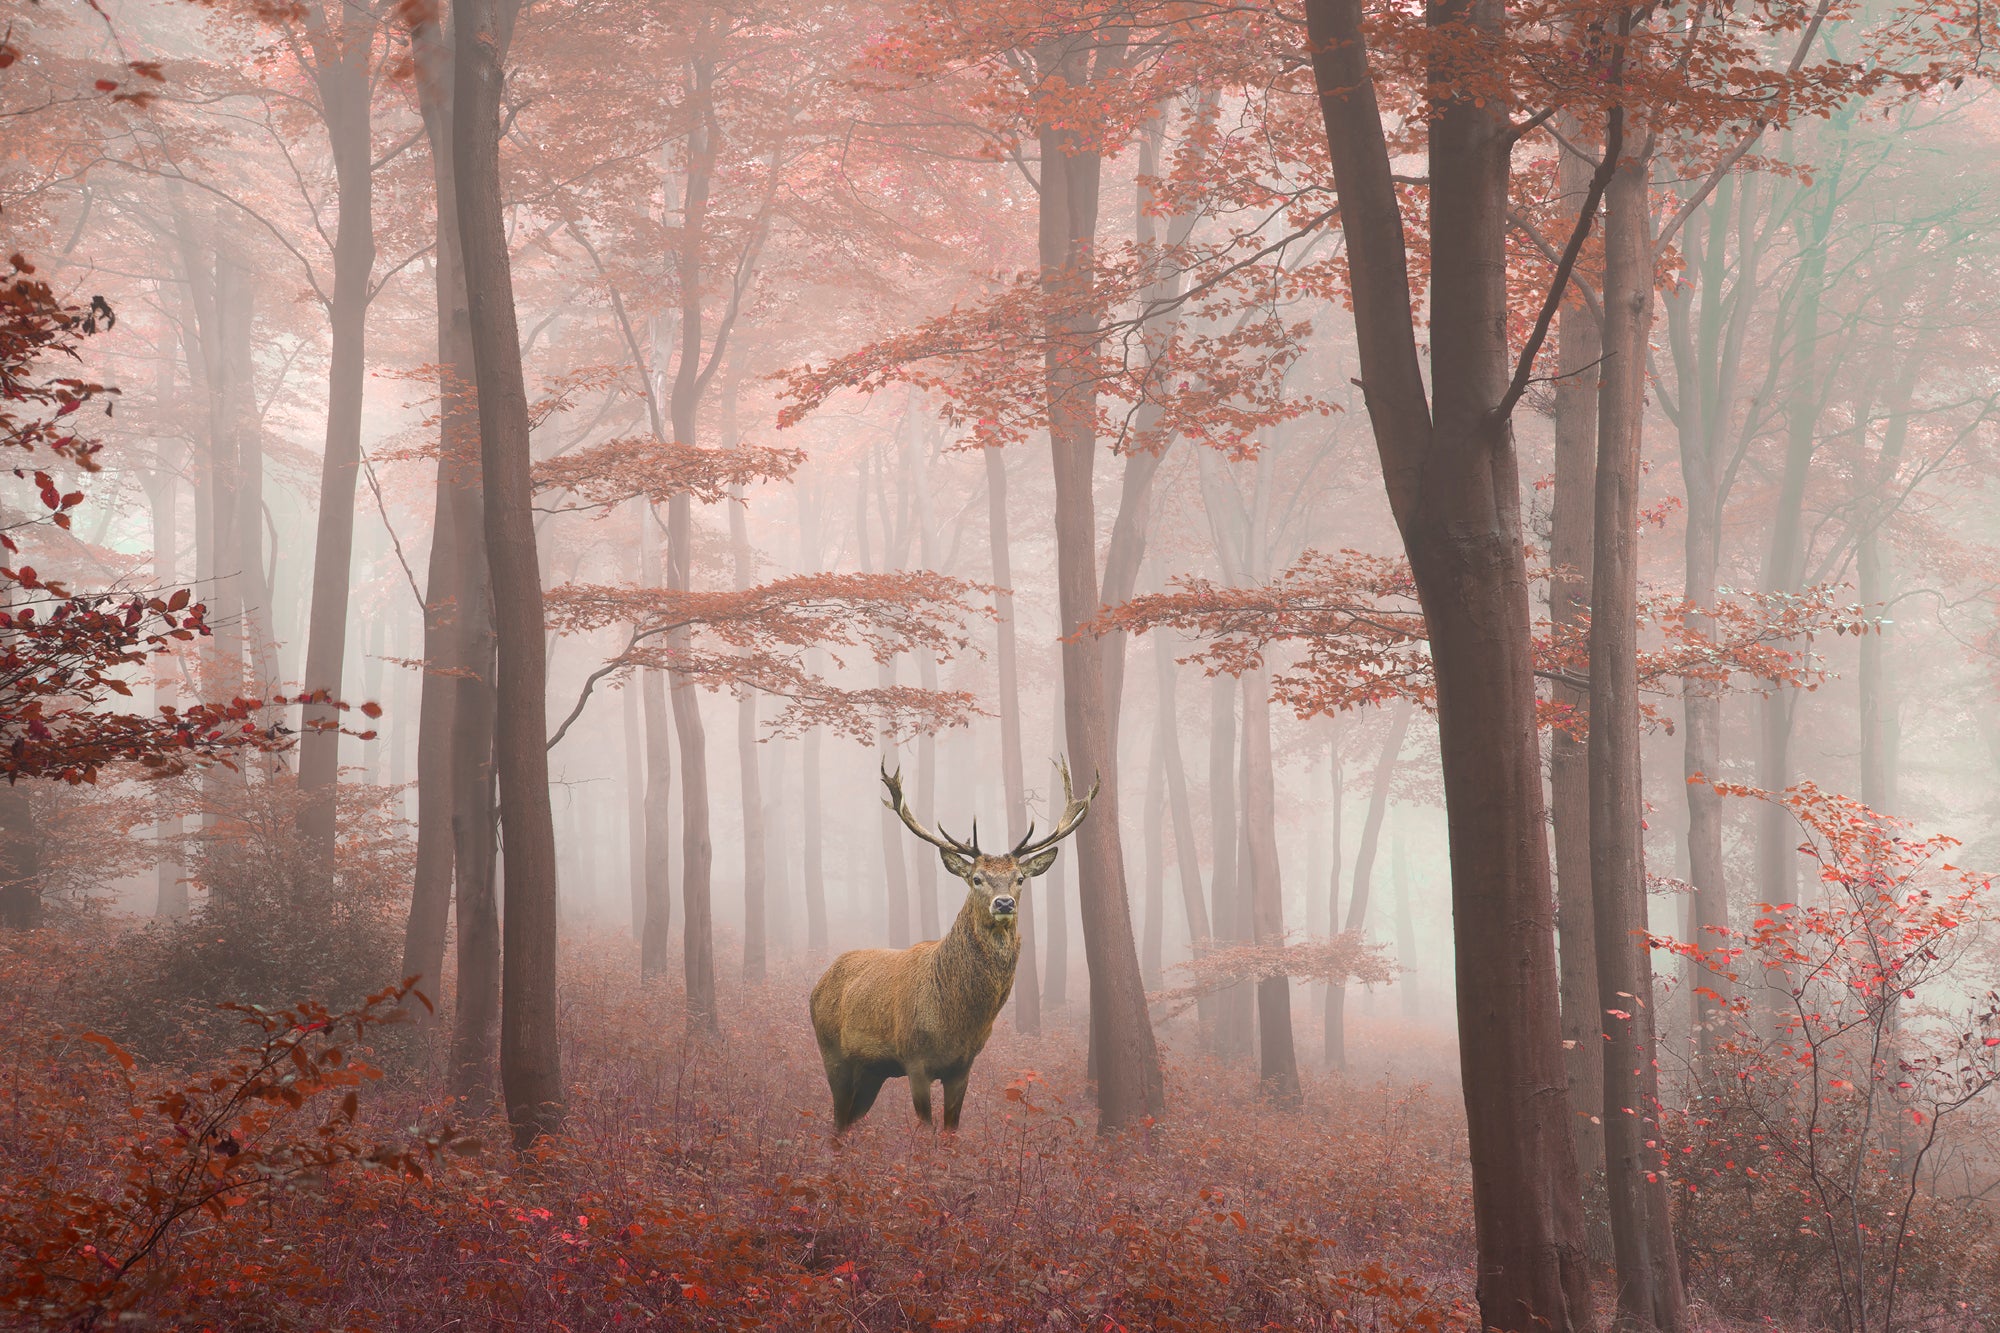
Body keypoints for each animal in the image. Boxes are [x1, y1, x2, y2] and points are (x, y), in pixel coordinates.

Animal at [809, 760, 1096, 1133]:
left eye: (1019, 879)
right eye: (976, 878)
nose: (1004, 903)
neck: (955, 1019)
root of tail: (818, 984)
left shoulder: (963, 1065)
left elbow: (951, 1130)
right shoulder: (914, 1058)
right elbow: (926, 1128)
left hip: (872, 1071)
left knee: (848, 1121)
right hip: (832, 1051)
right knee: (837, 1119)